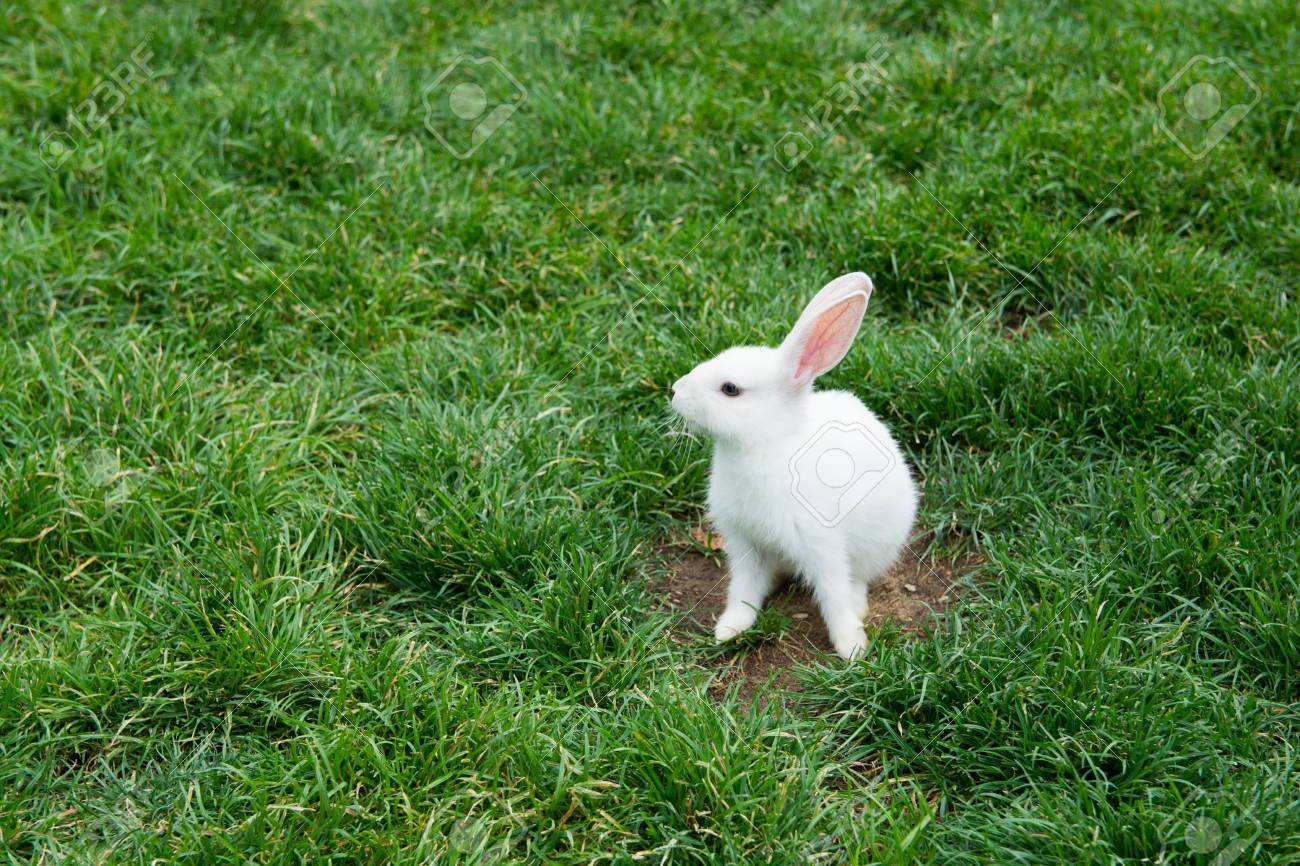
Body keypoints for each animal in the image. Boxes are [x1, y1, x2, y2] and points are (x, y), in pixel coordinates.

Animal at [669, 272, 918, 660]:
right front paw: (729, 629)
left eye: (730, 389)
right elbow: (744, 589)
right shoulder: (746, 544)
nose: (675, 390)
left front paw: (852, 648)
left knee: (857, 581)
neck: (765, 445)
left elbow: (833, 595)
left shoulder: (822, 545)